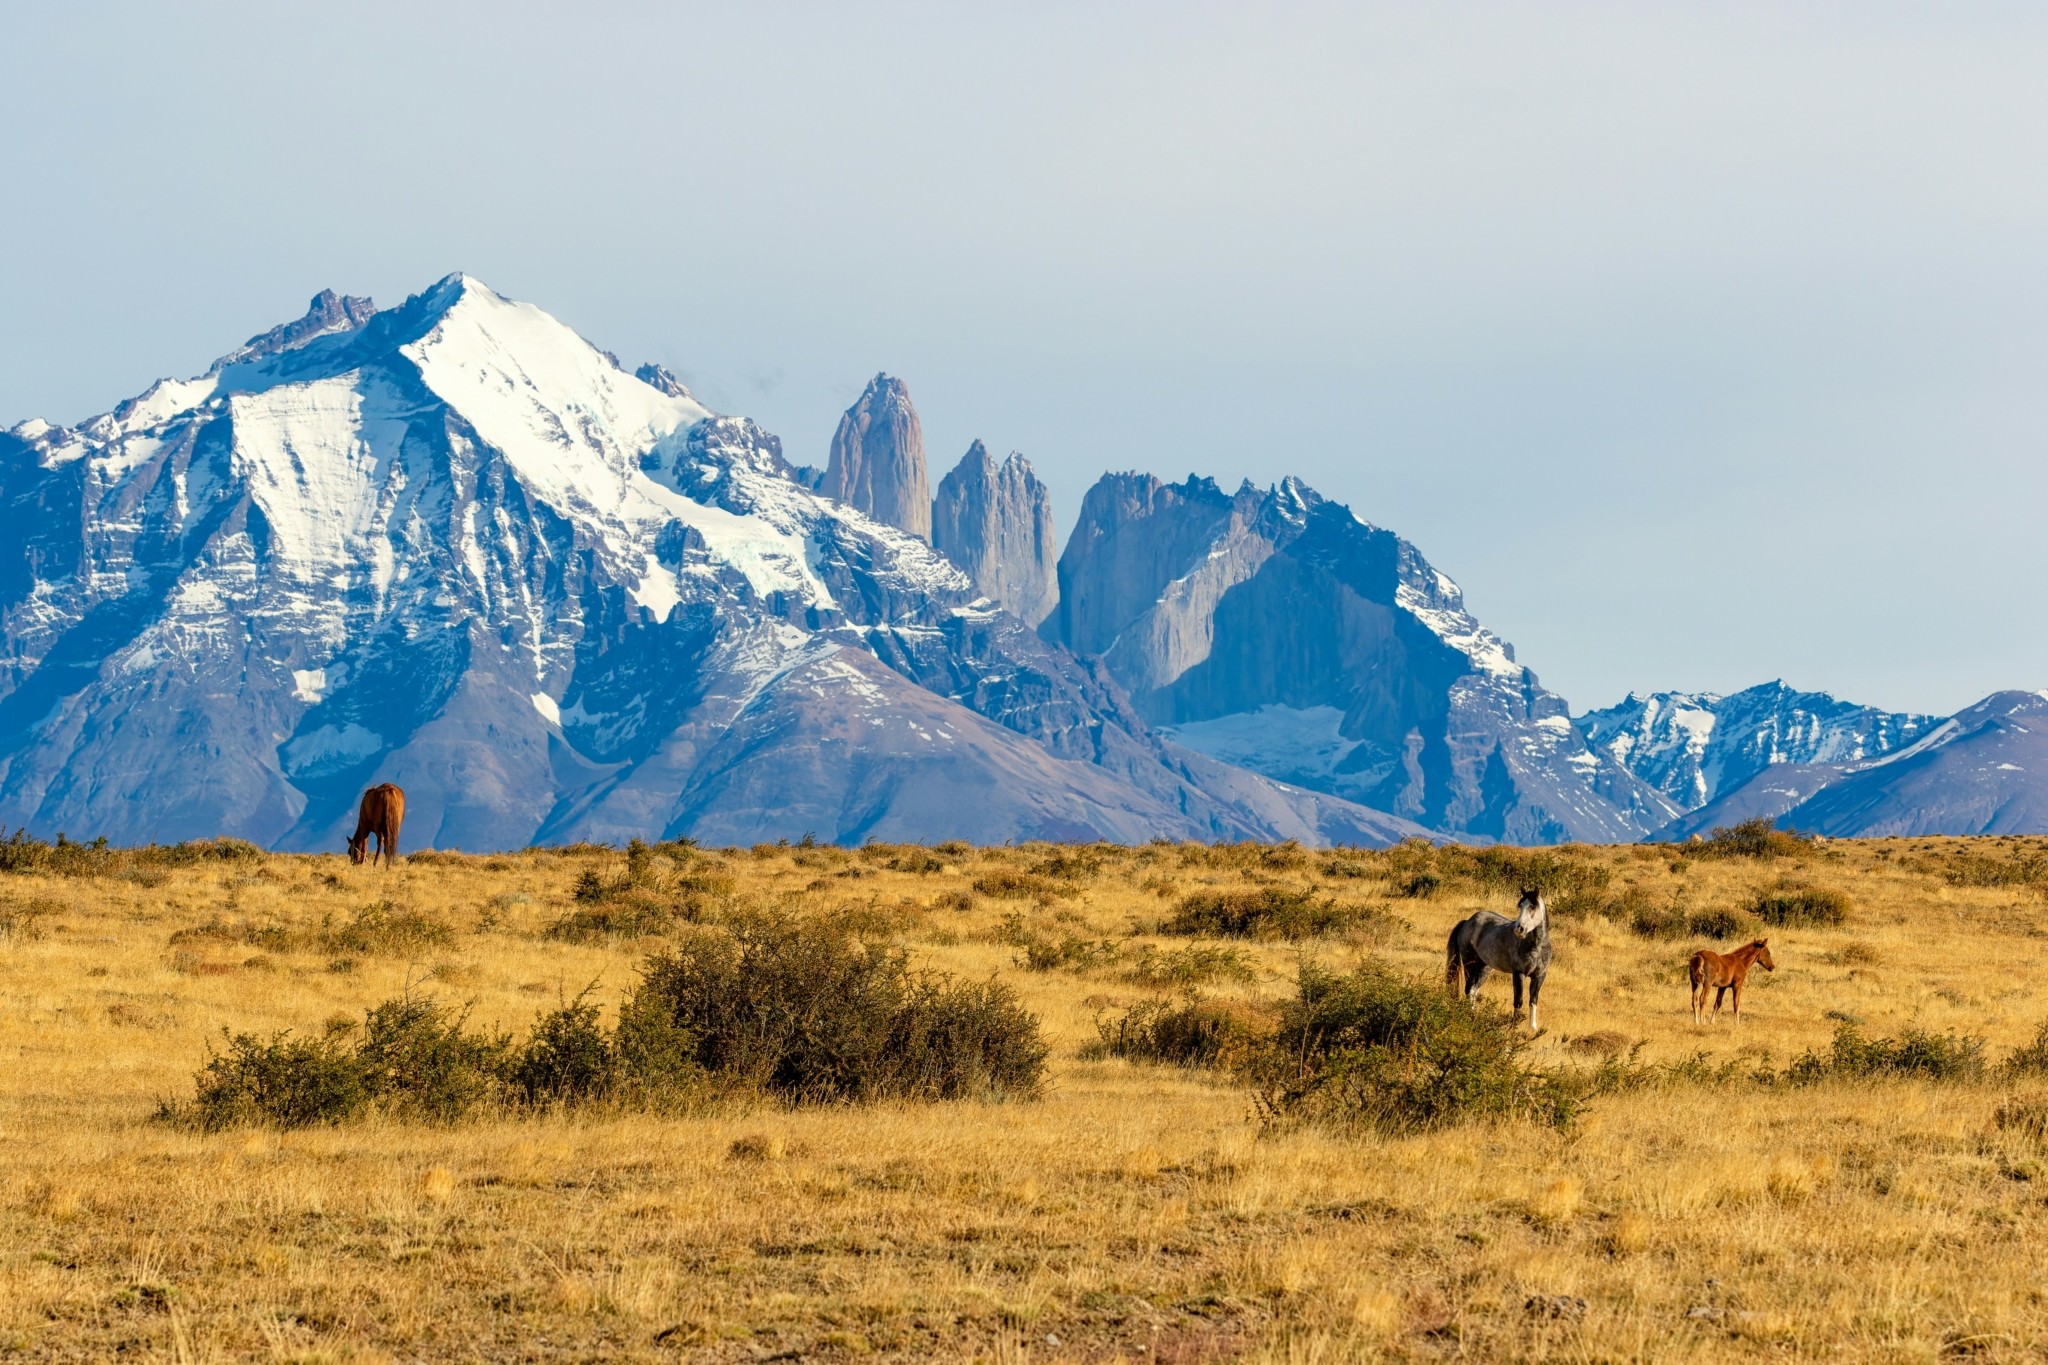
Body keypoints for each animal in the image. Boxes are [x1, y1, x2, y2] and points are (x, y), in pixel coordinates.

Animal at [1441, 892, 1548, 1031]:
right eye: (1520, 906)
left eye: (1533, 907)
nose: (1519, 929)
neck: (1536, 948)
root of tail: (1467, 922)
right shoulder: (1519, 974)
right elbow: (1518, 1001)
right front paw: (1514, 1027)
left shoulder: (1539, 976)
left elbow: (1533, 1000)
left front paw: (1533, 1028)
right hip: (1469, 964)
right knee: (1468, 989)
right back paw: (1470, 1017)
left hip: (1484, 968)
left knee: (1473, 990)